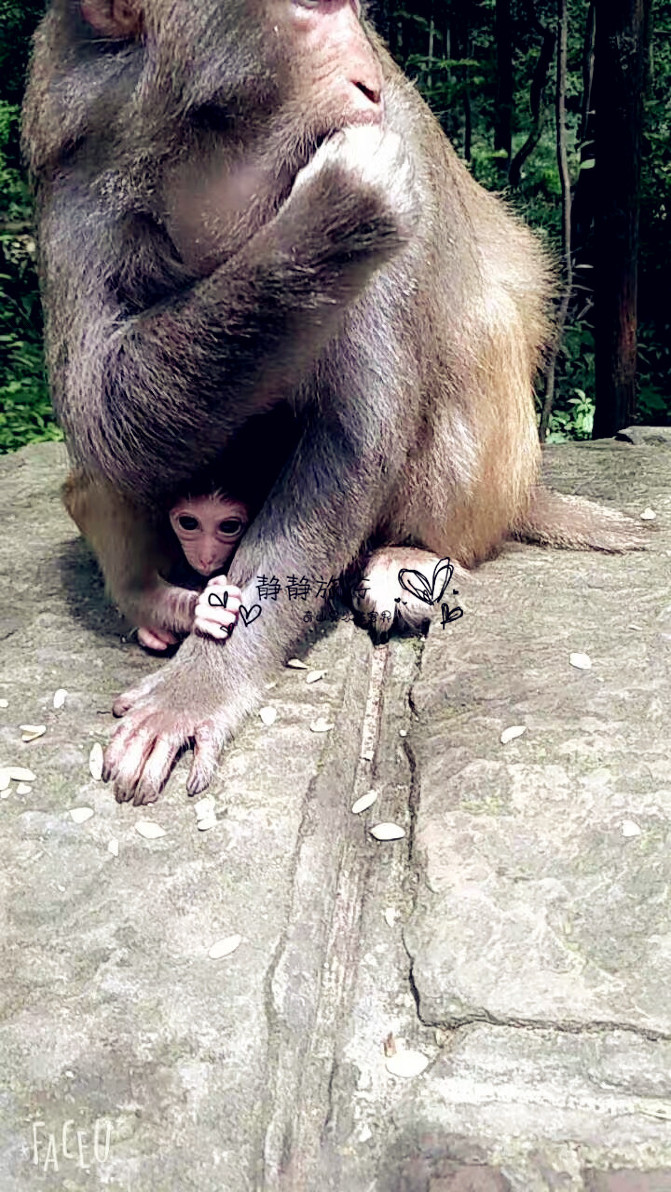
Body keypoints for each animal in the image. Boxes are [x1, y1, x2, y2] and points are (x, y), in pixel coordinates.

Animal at [23, 0, 646, 806]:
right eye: (312, 8)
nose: (365, 79)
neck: (211, 144)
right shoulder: (75, 151)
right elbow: (95, 404)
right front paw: (334, 216)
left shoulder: (396, 136)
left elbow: (352, 437)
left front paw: (197, 689)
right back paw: (140, 580)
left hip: (491, 471)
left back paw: (410, 555)